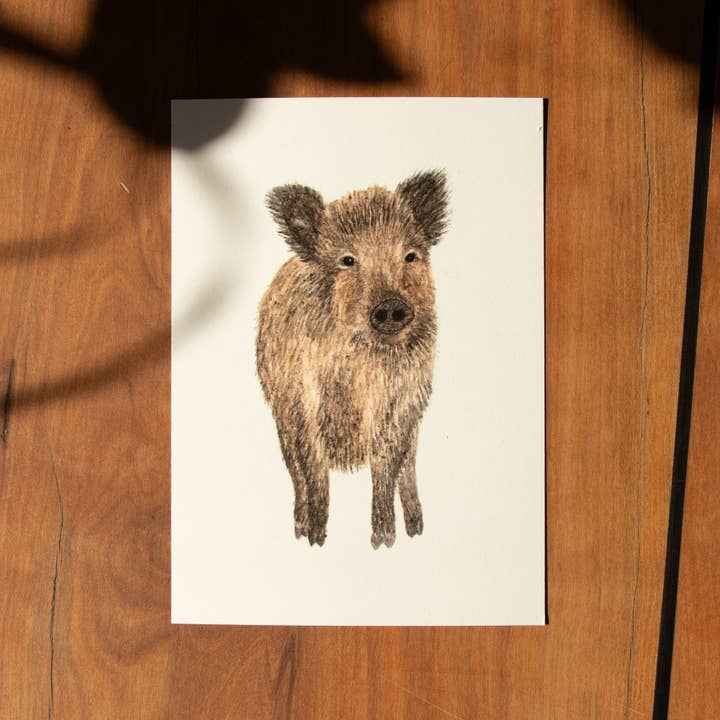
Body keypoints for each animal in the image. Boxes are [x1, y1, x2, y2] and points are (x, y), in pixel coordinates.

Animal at [256, 170, 449, 548]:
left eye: (410, 255)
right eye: (347, 260)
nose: (391, 306)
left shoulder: (403, 402)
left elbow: (386, 467)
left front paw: (384, 541)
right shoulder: (303, 401)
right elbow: (314, 470)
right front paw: (316, 539)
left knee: (407, 468)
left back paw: (416, 530)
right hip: (281, 416)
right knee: (296, 472)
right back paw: (300, 530)